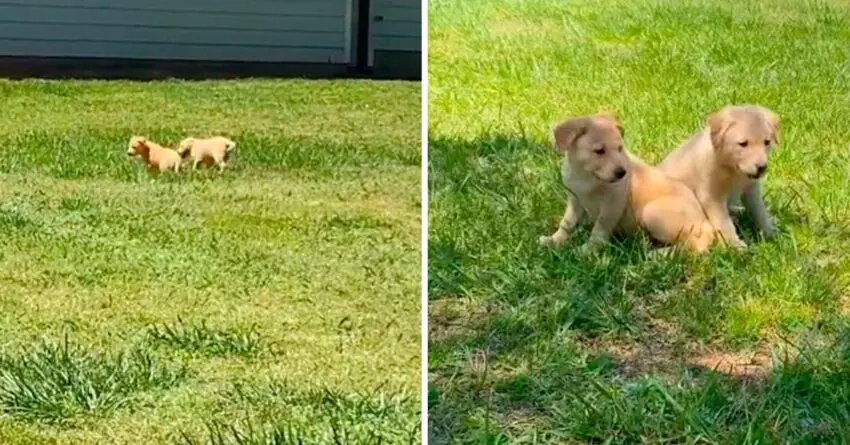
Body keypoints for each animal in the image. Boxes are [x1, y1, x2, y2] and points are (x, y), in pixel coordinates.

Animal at [536, 114, 716, 251]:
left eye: (619, 149)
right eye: (599, 151)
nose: (622, 173)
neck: (587, 177)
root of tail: (706, 222)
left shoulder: (612, 204)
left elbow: (599, 229)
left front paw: (588, 250)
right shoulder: (574, 200)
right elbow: (566, 223)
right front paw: (554, 240)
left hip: (651, 212)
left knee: (696, 246)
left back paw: (659, 255)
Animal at [660, 105, 780, 248]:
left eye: (767, 142)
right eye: (743, 144)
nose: (762, 167)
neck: (732, 168)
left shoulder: (752, 189)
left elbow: (760, 211)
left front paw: (770, 232)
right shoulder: (712, 197)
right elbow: (724, 223)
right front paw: (735, 245)